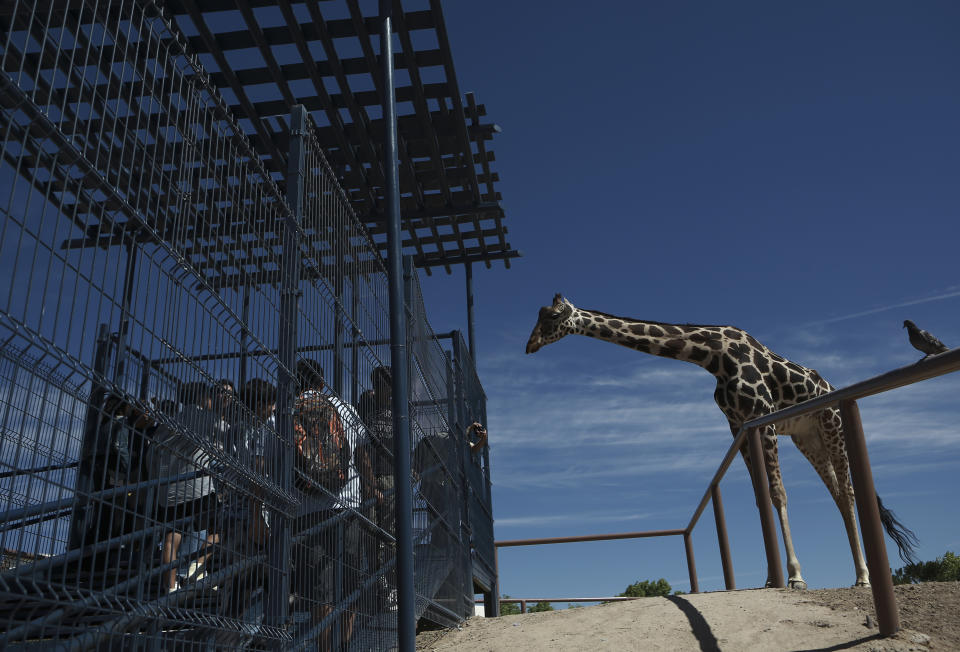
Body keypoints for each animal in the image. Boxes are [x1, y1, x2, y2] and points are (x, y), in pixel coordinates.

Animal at [528, 292, 920, 588]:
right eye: (540, 316)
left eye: (551, 317)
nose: (530, 345)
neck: (712, 355)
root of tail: (832, 391)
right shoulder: (739, 426)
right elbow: (761, 499)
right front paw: (769, 578)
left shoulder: (762, 418)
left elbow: (778, 494)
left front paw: (795, 577)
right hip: (808, 438)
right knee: (839, 495)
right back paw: (858, 574)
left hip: (831, 425)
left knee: (849, 493)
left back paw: (865, 578)